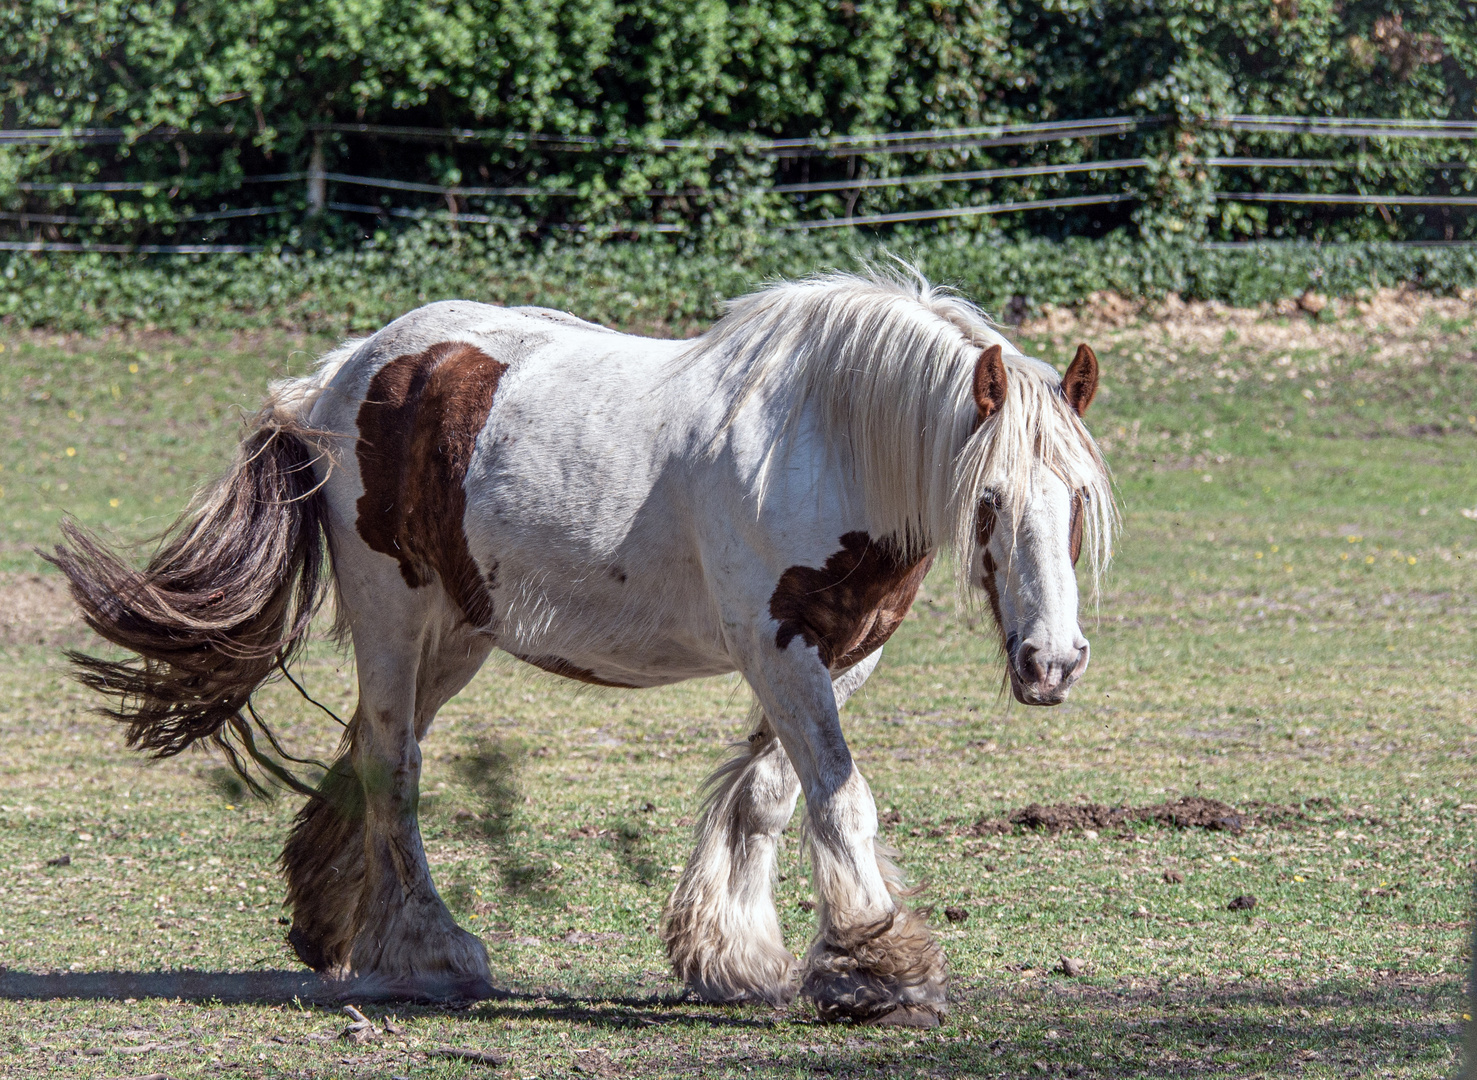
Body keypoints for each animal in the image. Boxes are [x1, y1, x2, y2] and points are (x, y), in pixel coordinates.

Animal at [54, 265, 1116, 1028]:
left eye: (1077, 502)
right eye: (988, 499)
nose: (1052, 663)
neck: (829, 443)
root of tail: (348, 371)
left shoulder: (847, 651)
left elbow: (773, 794)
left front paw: (736, 958)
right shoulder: (776, 645)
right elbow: (838, 798)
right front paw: (881, 972)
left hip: (458, 634)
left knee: (368, 751)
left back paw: (332, 925)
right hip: (395, 615)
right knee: (394, 766)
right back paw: (429, 953)